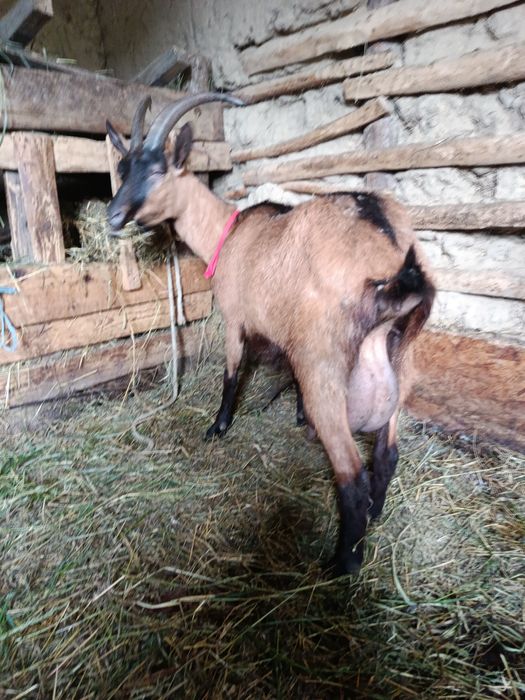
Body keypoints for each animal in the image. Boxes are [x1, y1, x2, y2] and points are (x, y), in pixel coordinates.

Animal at [106, 93, 435, 576]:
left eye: (155, 171)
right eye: (122, 168)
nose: (111, 216)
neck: (228, 233)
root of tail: (391, 252)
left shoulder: (235, 319)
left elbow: (231, 371)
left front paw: (218, 426)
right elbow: (287, 377)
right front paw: (295, 415)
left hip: (326, 368)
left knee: (351, 477)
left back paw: (341, 565)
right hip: (400, 365)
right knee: (386, 454)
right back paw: (375, 514)